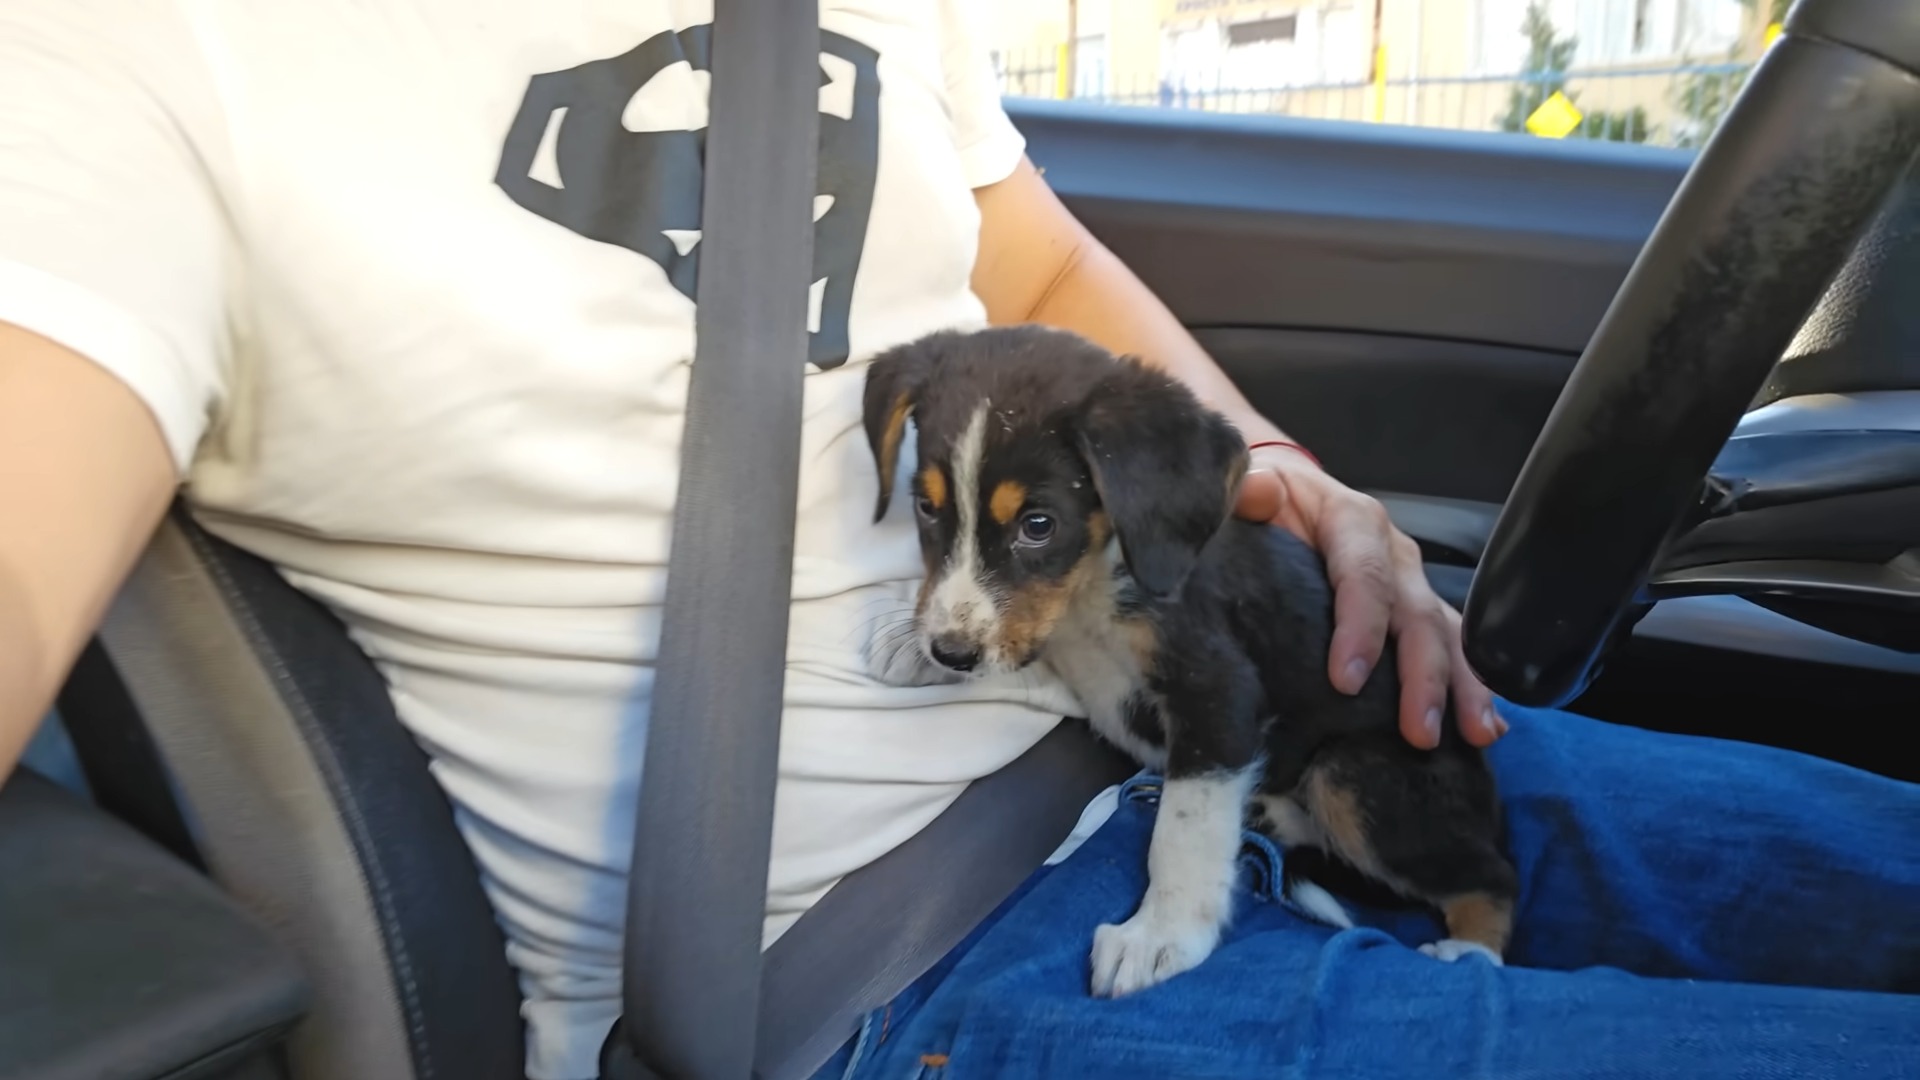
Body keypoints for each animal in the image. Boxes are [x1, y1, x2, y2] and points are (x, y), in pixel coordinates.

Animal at [867, 322, 1512, 999]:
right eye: (927, 509)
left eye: (1038, 525)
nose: (950, 651)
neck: (1096, 579)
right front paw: (906, 642)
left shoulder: (1217, 690)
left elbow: (1184, 829)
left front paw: (1160, 936)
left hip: (1354, 773)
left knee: (1492, 874)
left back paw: (1471, 951)